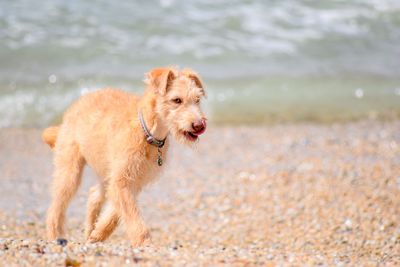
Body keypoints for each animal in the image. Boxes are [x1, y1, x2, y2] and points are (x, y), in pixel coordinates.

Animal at [42, 67, 208, 247]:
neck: (147, 132)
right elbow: (131, 214)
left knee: (94, 194)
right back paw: (54, 235)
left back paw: (89, 230)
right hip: (70, 170)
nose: (199, 125)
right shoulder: (122, 181)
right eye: (177, 100)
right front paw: (144, 242)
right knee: (56, 206)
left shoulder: (132, 181)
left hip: (105, 170)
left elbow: (116, 213)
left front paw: (98, 233)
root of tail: (75, 105)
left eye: (197, 99)